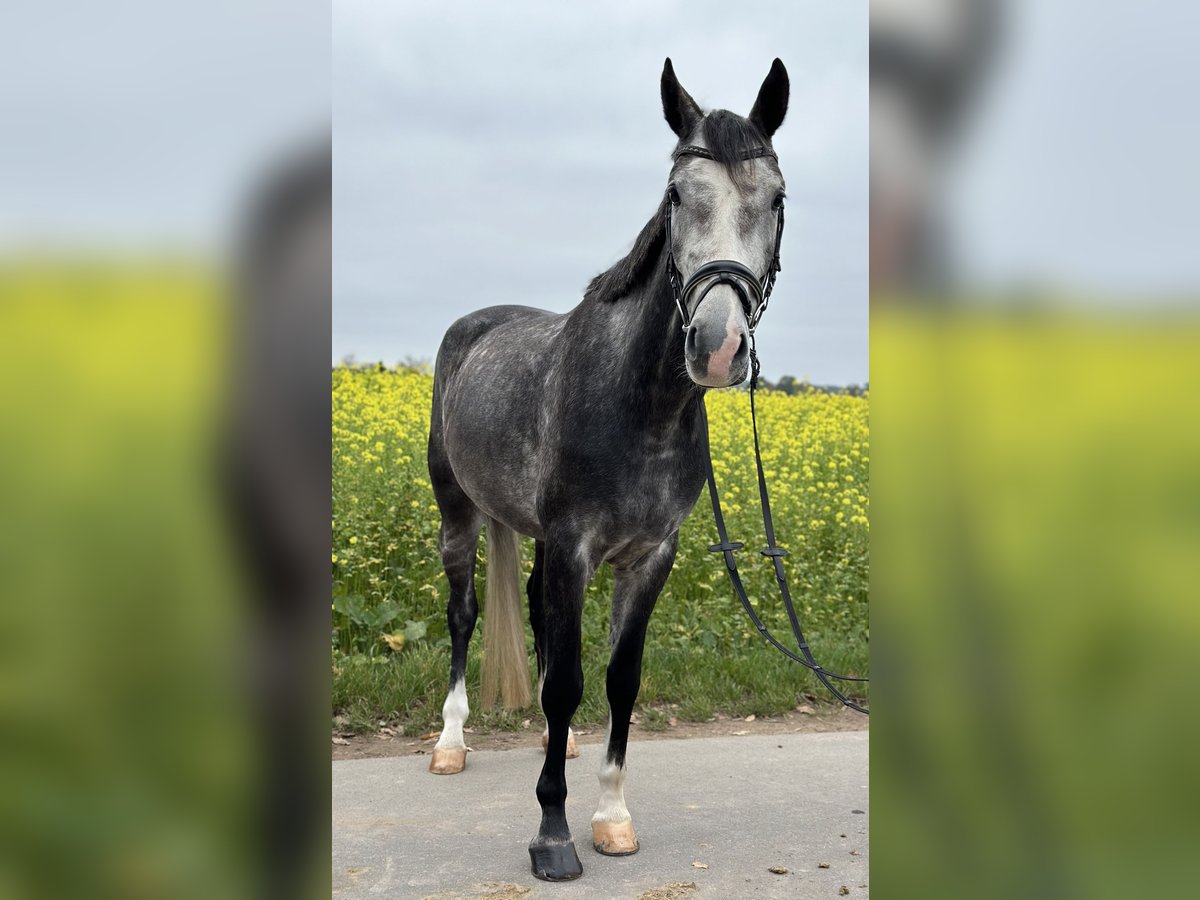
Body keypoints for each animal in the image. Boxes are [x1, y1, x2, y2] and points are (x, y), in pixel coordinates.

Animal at [427, 58, 792, 888]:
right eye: (677, 195)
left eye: (777, 198)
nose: (718, 347)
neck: (640, 404)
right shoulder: (575, 547)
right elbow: (567, 678)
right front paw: (553, 834)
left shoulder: (649, 556)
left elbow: (620, 678)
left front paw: (611, 816)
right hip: (458, 513)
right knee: (464, 615)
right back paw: (451, 742)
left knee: (531, 607)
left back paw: (549, 742)